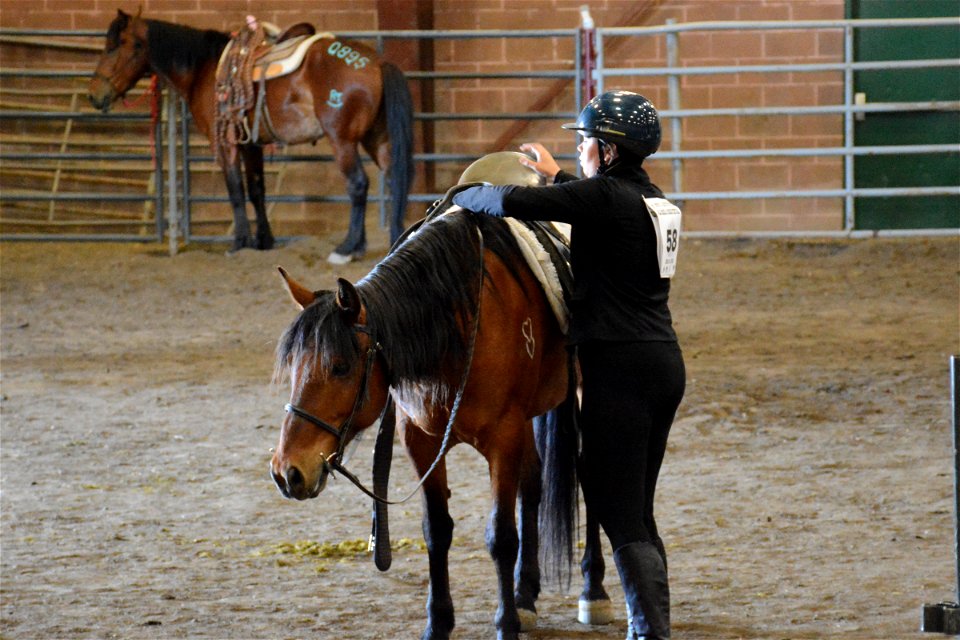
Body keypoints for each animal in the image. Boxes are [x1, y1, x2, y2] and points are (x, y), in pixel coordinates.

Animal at [91, 10, 416, 262]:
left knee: (358, 184)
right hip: (376, 137)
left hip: (343, 140)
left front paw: (240, 242)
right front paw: (264, 241)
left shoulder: (226, 143)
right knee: (394, 177)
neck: (205, 69)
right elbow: (256, 190)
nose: (95, 95)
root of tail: (376, 62)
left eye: (114, 46)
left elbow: (235, 190)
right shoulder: (251, 144)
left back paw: (347, 248)